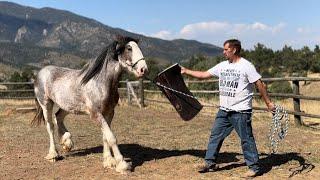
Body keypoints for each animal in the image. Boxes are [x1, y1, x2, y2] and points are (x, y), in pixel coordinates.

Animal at [31, 36, 149, 173]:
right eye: (129, 48)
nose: (143, 69)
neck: (101, 83)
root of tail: (40, 73)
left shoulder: (109, 112)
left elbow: (105, 137)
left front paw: (109, 161)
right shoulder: (96, 114)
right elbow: (111, 137)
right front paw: (122, 165)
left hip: (69, 105)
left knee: (58, 116)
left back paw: (67, 142)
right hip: (46, 104)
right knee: (50, 126)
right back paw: (53, 155)